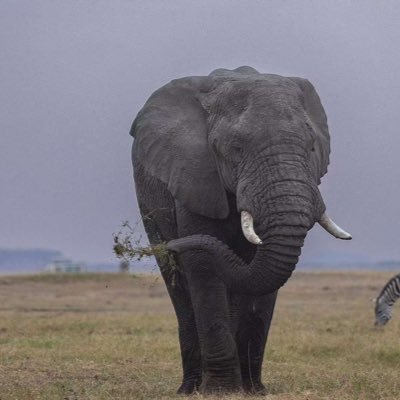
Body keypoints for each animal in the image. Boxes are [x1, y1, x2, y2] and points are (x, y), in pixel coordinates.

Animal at [130, 66, 350, 394]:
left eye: (311, 146)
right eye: (235, 149)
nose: (175, 244)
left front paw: (254, 391)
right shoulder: (195, 174)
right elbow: (203, 267)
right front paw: (222, 391)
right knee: (178, 285)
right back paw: (190, 389)